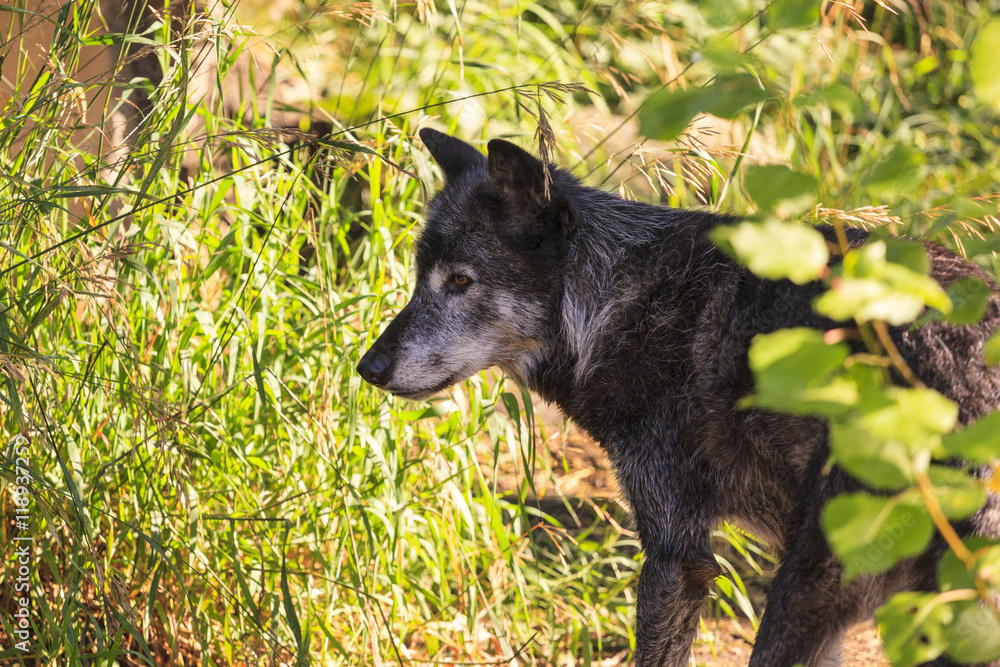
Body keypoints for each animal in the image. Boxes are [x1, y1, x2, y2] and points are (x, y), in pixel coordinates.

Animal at [358, 129, 1000, 667]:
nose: (369, 367)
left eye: (461, 281)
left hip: (809, 584)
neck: (615, 302)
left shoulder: (677, 554)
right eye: (419, 279)